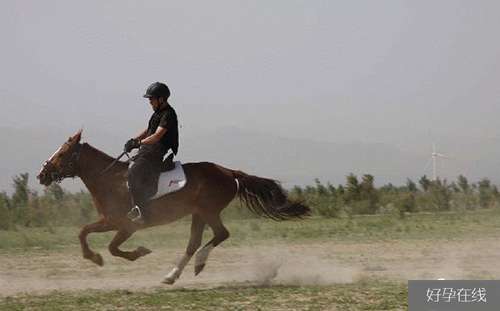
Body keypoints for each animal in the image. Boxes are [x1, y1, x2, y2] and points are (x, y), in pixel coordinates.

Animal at [36, 130, 308, 286]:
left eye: (62, 154)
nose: (41, 175)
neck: (110, 180)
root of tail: (229, 172)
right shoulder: (108, 221)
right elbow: (82, 232)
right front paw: (94, 257)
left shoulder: (126, 225)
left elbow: (112, 247)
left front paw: (136, 252)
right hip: (198, 214)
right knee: (194, 242)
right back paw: (172, 275)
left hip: (209, 211)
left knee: (220, 235)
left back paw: (198, 264)